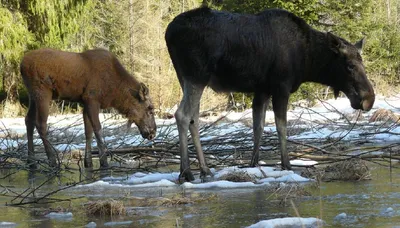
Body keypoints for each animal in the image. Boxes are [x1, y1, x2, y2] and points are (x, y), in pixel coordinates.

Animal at [20, 48, 156, 168]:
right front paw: (104, 161)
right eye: (150, 108)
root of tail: (21, 65)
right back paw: (52, 160)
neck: (114, 90)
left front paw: (88, 161)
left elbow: (88, 132)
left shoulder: (85, 102)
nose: (153, 132)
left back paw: (31, 160)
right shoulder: (92, 99)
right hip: (43, 92)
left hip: (32, 95)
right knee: (41, 124)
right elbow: (98, 129)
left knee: (28, 120)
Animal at [165, 6, 376, 182]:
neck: (308, 61)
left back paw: (204, 169)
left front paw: (253, 164)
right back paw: (186, 172)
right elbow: (281, 126)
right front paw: (286, 164)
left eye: (363, 63)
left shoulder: (262, 90)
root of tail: (168, 32)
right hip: (197, 76)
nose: (369, 99)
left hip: (185, 78)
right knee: (182, 114)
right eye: (349, 66)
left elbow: (258, 127)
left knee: (194, 118)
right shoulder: (281, 86)